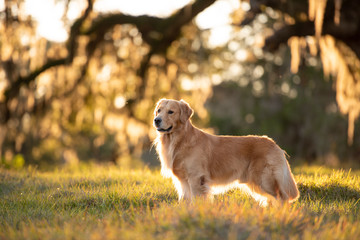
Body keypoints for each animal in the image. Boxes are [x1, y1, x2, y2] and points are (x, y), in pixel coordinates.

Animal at [153, 98, 300, 205]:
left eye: (171, 112)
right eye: (158, 110)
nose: (156, 120)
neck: (180, 139)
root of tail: (273, 143)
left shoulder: (196, 178)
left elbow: (197, 200)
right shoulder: (183, 181)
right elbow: (186, 200)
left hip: (264, 179)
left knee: (282, 198)